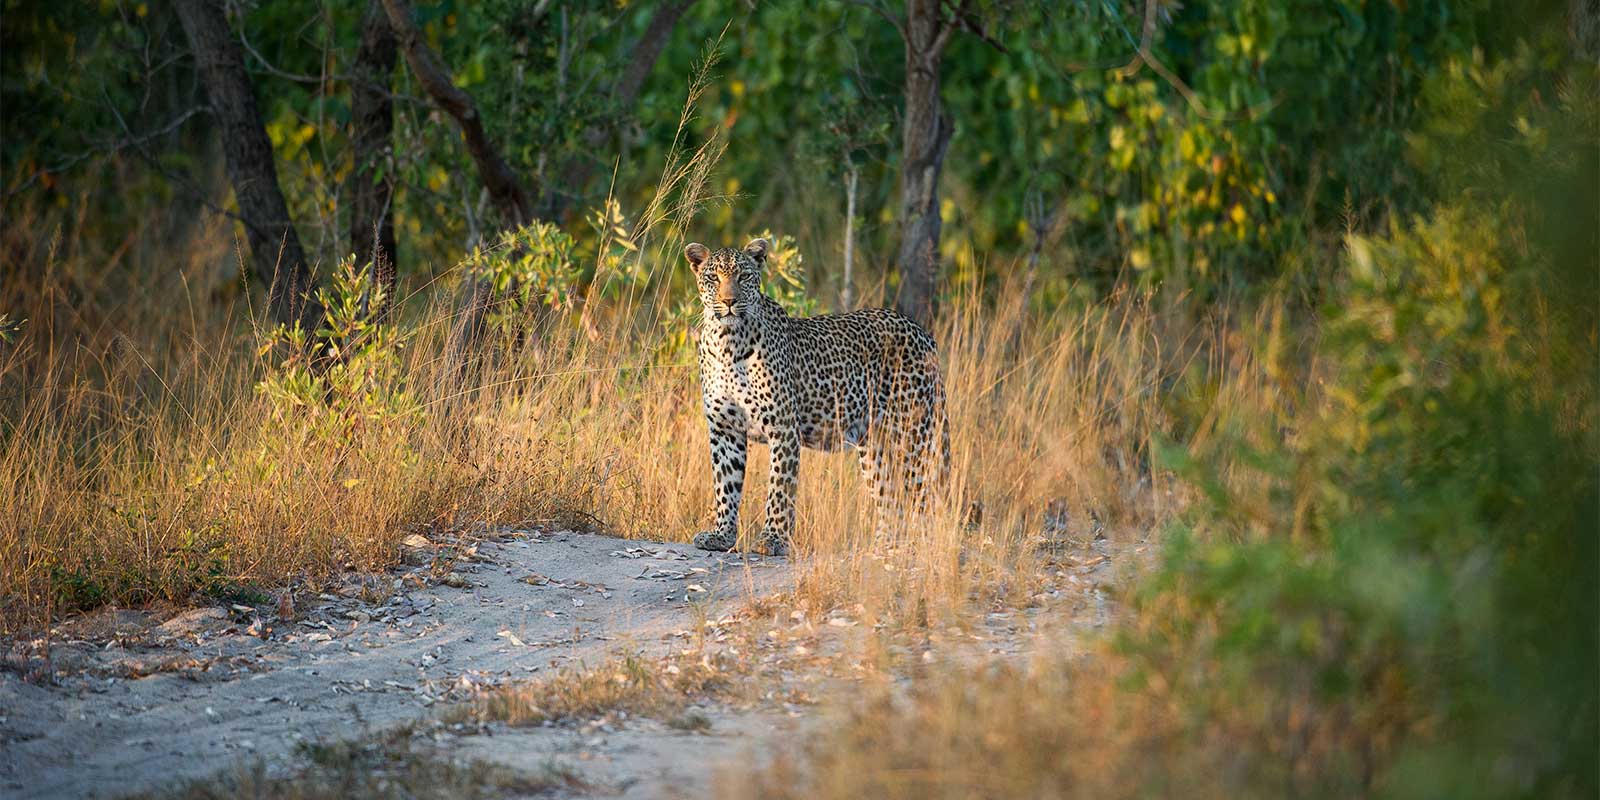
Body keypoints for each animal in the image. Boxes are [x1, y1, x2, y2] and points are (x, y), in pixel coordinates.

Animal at [685, 237, 950, 556]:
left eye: (744, 276)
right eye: (713, 278)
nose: (729, 302)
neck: (727, 342)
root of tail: (923, 332)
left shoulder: (783, 427)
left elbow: (780, 486)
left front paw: (773, 539)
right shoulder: (725, 430)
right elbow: (726, 484)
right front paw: (721, 536)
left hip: (913, 434)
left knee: (924, 496)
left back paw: (922, 548)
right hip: (875, 446)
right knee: (891, 500)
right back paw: (883, 547)